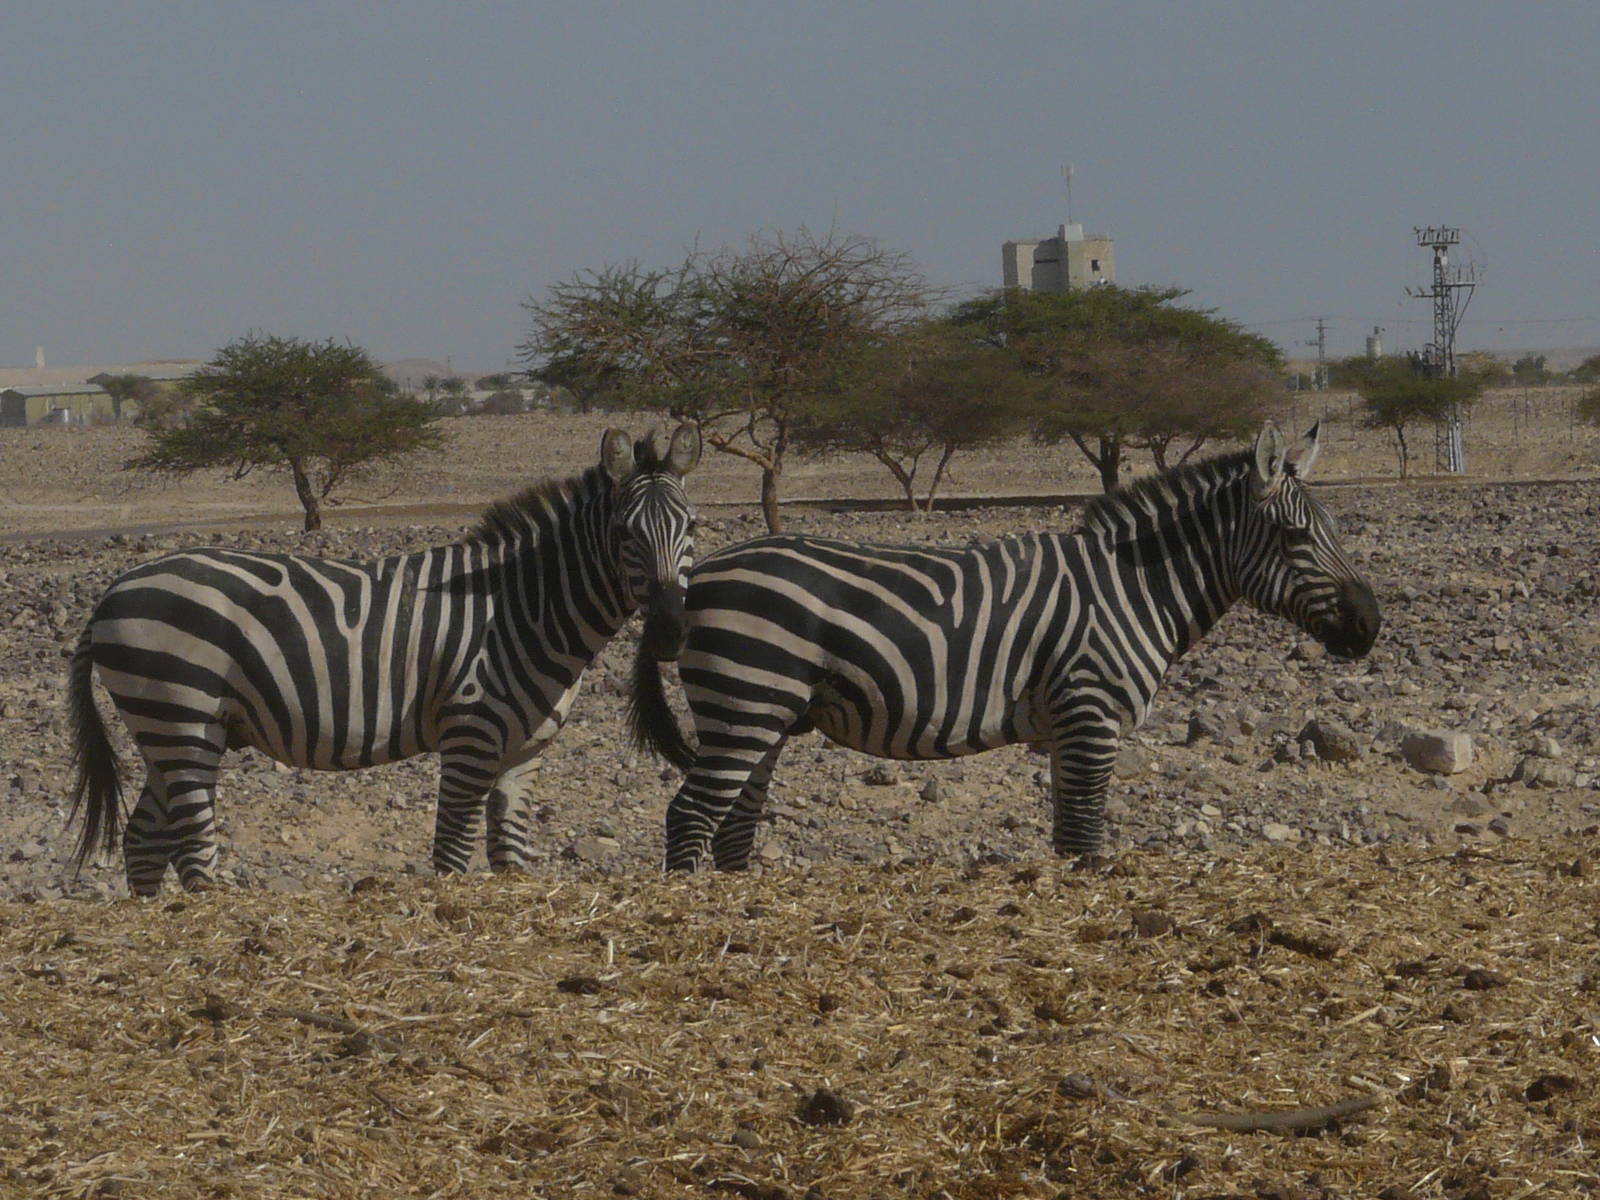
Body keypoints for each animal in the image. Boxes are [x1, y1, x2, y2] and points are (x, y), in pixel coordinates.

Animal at [68, 424, 701, 895]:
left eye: (692, 525)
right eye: (624, 532)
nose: (671, 632)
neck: (522, 606)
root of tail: (114, 590)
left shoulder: (525, 751)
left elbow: (510, 857)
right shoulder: (470, 735)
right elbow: (451, 853)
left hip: (170, 731)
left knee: (143, 839)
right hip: (183, 719)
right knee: (193, 850)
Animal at [629, 423, 1379, 871]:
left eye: (1334, 529)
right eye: (1295, 537)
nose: (1370, 626)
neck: (1132, 586)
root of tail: (694, 575)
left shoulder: (1067, 730)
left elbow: (1066, 834)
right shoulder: (1090, 715)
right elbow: (1086, 837)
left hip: (762, 715)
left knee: (733, 822)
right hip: (747, 704)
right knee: (689, 816)